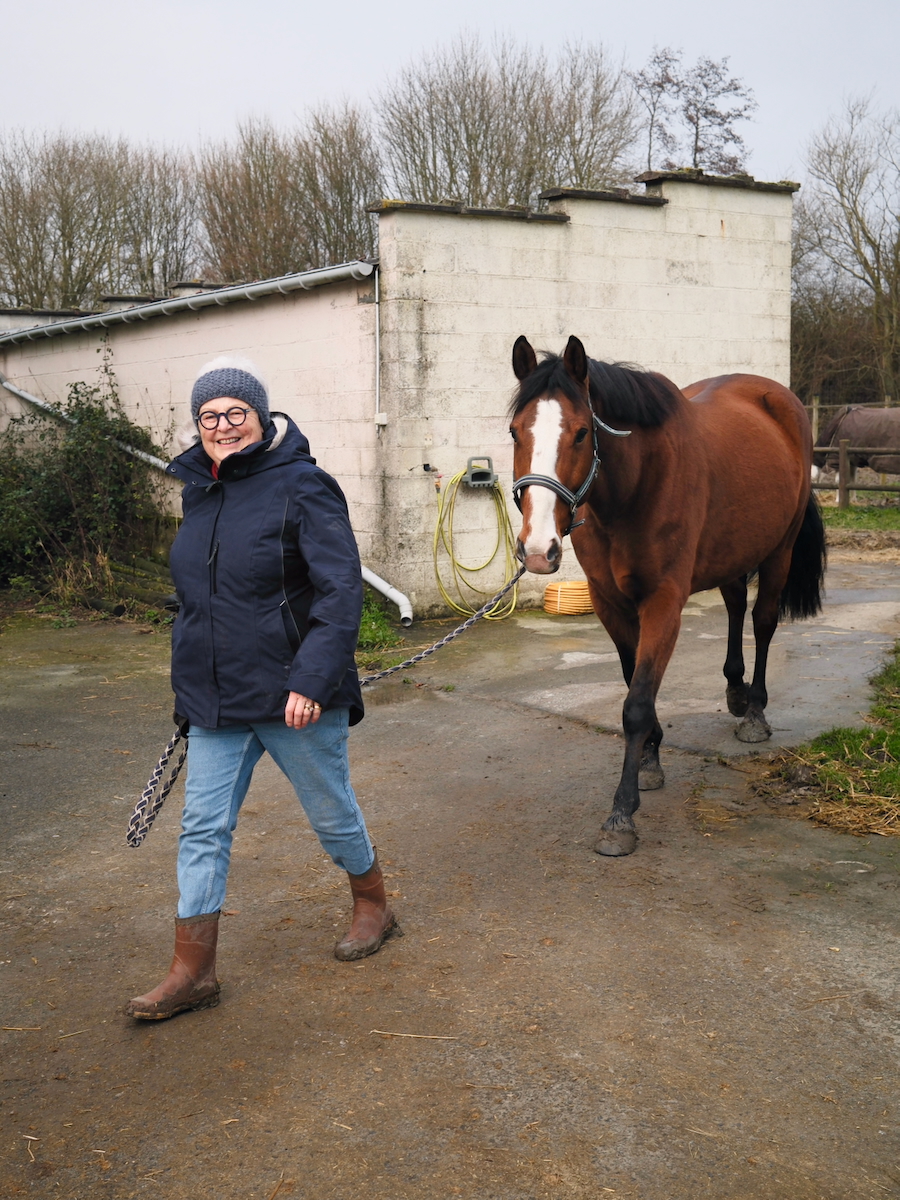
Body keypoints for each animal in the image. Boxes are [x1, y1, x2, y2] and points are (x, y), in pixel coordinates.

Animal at [509, 335, 826, 857]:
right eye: (516, 432)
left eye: (581, 433)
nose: (538, 549)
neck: (636, 484)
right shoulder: (609, 602)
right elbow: (632, 680)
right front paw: (651, 758)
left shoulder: (663, 602)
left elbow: (637, 702)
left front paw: (621, 814)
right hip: (731, 551)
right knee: (735, 605)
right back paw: (735, 691)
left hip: (779, 550)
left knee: (762, 621)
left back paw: (754, 712)